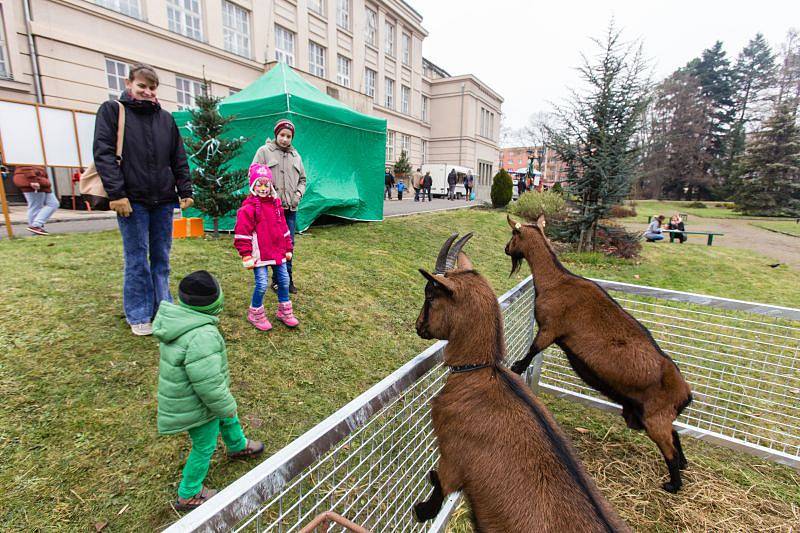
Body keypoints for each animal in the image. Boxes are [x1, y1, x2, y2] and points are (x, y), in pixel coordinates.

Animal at [412, 233, 632, 532]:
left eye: (430, 295)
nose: (418, 326)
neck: (484, 374)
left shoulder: (452, 458)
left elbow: (439, 489)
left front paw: (421, 510)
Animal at [506, 214, 692, 492]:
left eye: (513, 235)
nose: (506, 249)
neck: (556, 281)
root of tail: (686, 394)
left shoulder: (551, 328)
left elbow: (533, 349)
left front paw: (516, 367)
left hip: (655, 418)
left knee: (668, 446)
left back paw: (673, 484)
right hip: (646, 416)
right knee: (675, 434)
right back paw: (683, 465)